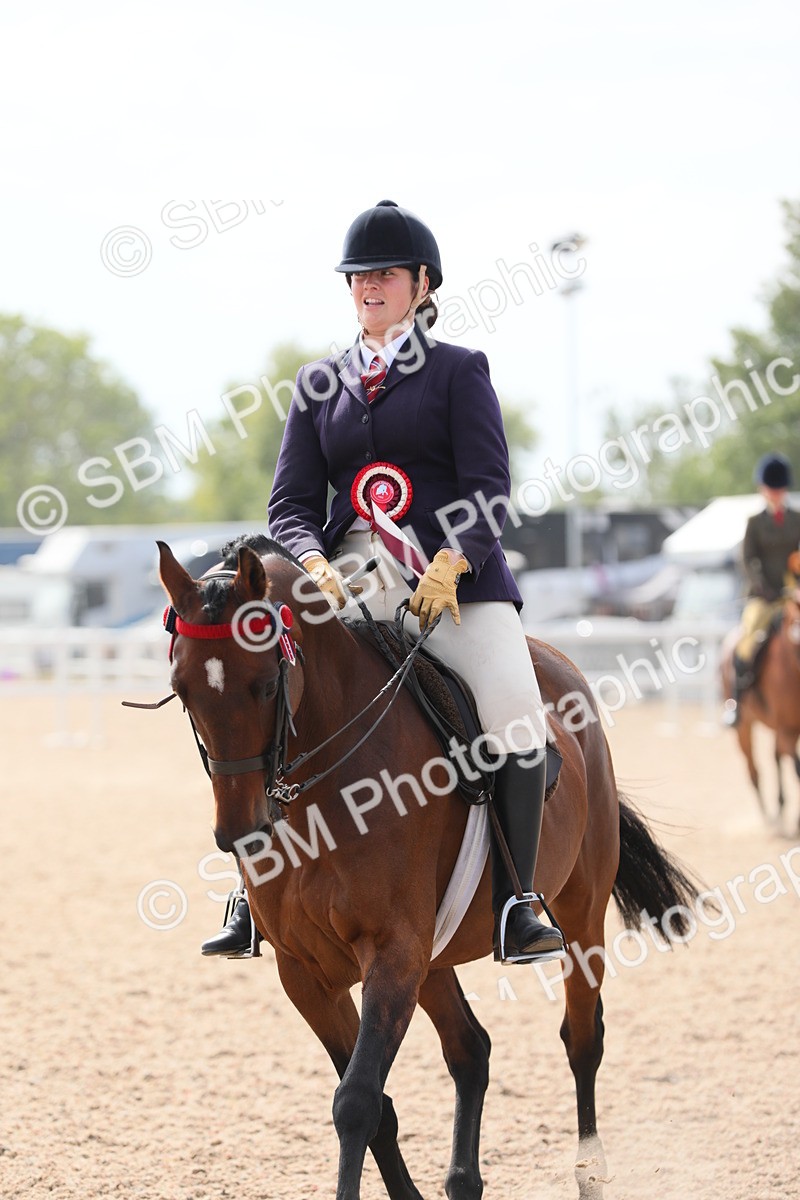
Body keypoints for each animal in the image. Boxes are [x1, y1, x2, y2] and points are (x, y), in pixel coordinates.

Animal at [154, 536, 700, 1200]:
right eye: (183, 690)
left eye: (263, 686)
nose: (241, 834)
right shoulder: (307, 971)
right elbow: (375, 1104)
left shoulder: (393, 953)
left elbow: (356, 1102)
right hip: (435, 956)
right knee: (470, 1049)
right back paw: (464, 1180)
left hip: (578, 912)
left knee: (582, 1037)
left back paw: (590, 1170)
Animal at [722, 592, 800, 832]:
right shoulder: (787, 731)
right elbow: (797, 769)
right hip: (743, 728)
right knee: (754, 770)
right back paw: (769, 820)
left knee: (775, 759)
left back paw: (780, 810)